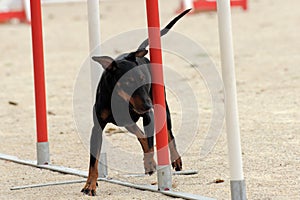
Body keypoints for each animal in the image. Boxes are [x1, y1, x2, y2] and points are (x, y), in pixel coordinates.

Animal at [81, 9, 190, 195]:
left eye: (143, 79)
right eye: (127, 82)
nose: (148, 105)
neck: (120, 100)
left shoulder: (148, 116)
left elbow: (152, 142)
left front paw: (151, 163)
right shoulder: (97, 127)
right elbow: (93, 162)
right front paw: (90, 185)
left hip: (162, 108)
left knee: (168, 134)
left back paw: (174, 160)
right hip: (127, 122)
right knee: (140, 134)